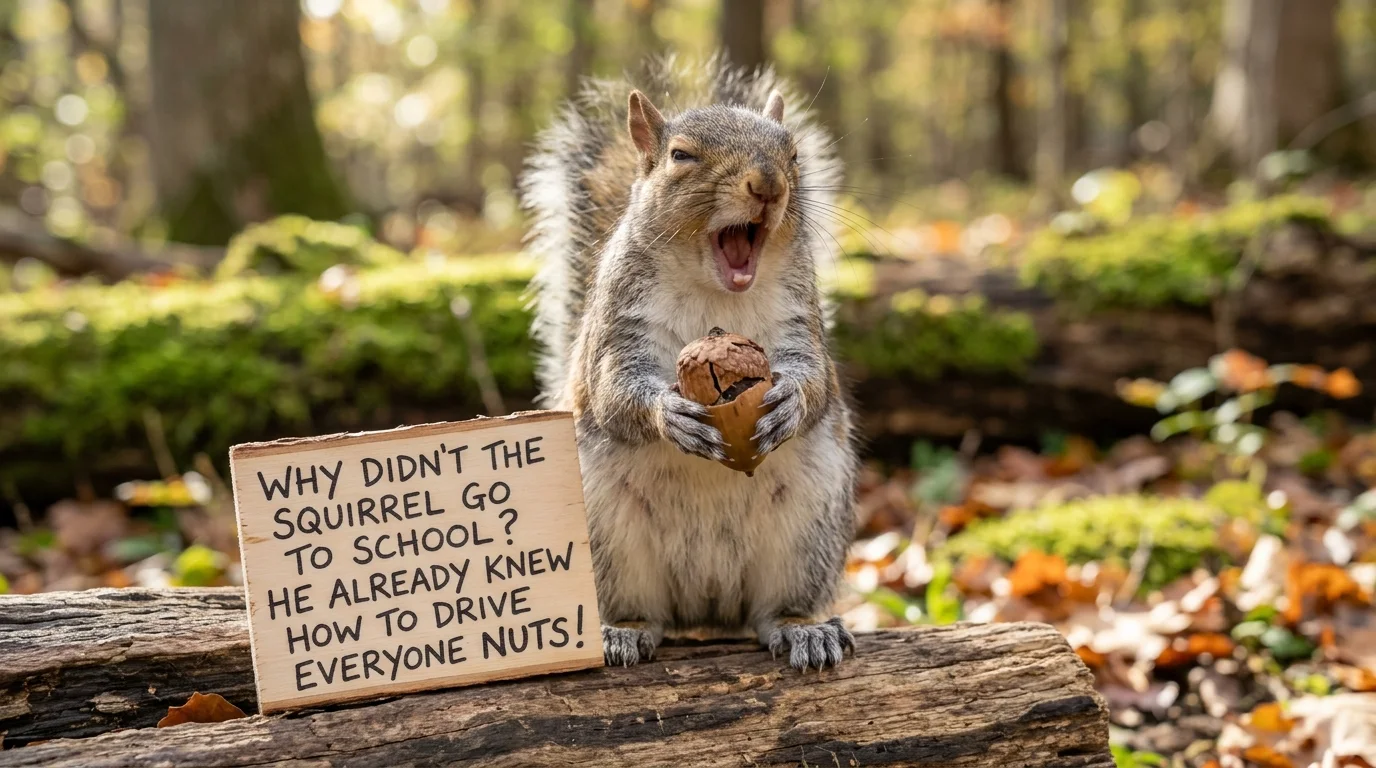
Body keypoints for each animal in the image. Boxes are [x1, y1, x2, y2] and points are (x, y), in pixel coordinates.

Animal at [521, 56, 857, 671]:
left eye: (793, 153)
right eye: (681, 156)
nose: (768, 185)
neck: (713, 287)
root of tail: (705, 605)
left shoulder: (801, 318)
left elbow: (816, 376)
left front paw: (790, 402)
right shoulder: (618, 326)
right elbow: (612, 389)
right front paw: (668, 415)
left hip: (809, 529)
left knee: (776, 608)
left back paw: (805, 629)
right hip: (603, 536)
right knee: (636, 608)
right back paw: (621, 631)